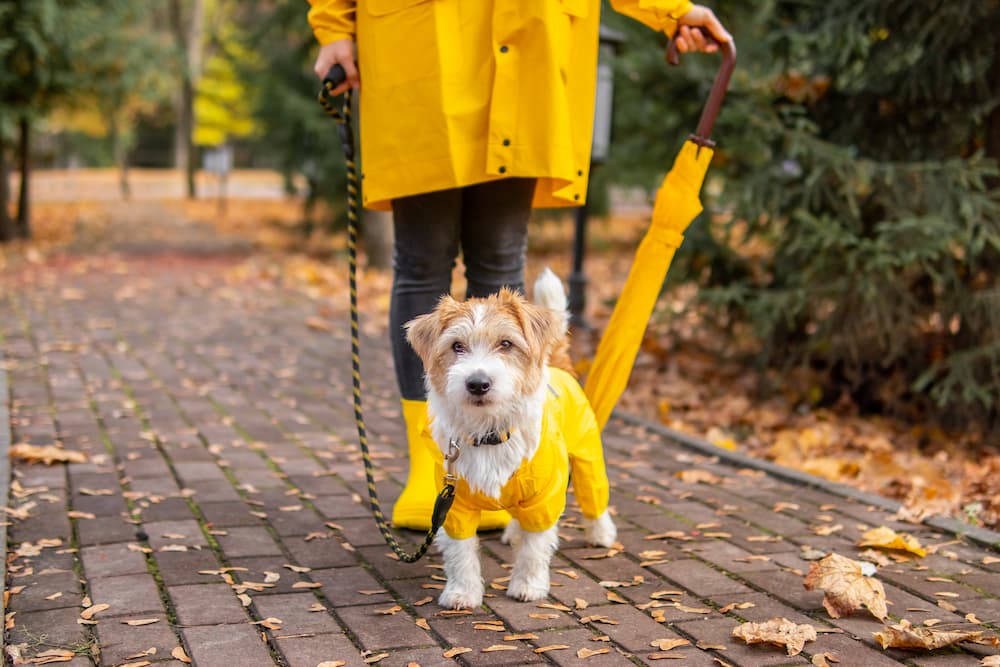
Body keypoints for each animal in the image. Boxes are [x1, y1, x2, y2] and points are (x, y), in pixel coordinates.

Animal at [406, 270, 616, 612]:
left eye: (506, 343)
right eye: (457, 346)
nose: (478, 383)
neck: (489, 432)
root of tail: (557, 365)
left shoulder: (545, 496)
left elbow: (534, 548)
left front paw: (528, 586)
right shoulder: (453, 504)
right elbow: (461, 552)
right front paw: (462, 592)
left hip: (588, 456)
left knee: (594, 496)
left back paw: (601, 533)